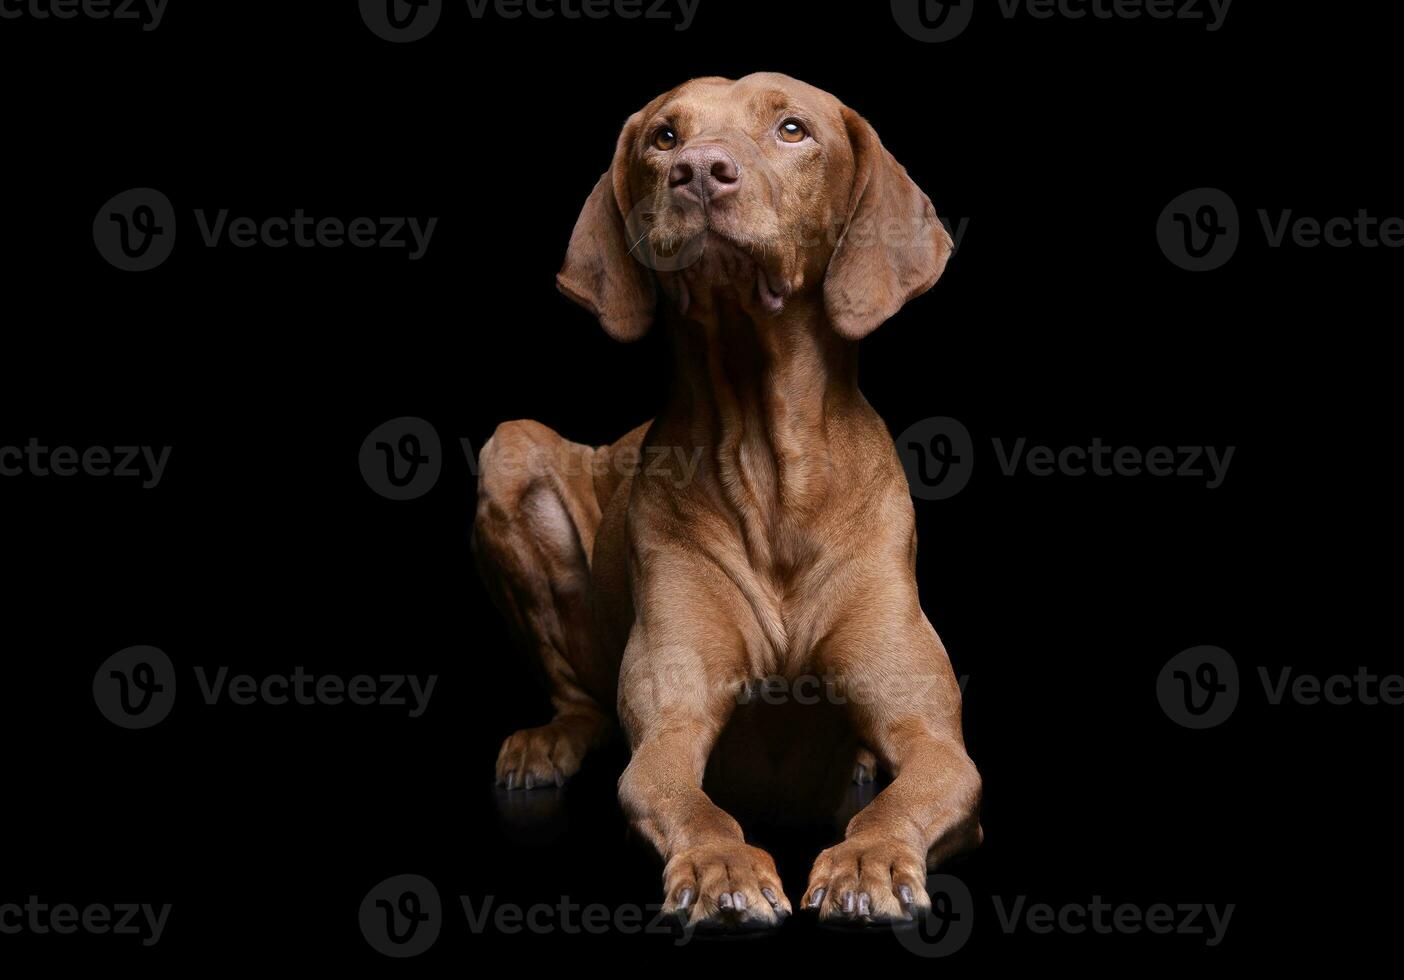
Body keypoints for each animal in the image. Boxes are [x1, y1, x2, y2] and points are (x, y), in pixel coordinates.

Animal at [477, 70, 982, 921]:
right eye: (664, 137)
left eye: (792, 128)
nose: (700, 173)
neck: (766, 459)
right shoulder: (670, 725)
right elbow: (689, 800)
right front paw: (722, 867)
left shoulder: (931, 736)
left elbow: (904, 794)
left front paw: (868, 859)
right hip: (509, 449)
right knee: (579, 697)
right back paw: (551, 737)